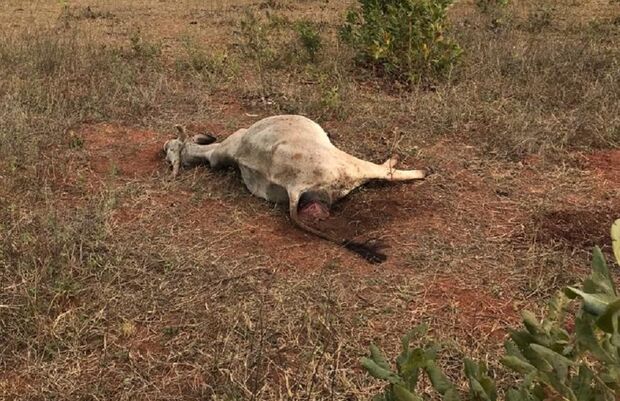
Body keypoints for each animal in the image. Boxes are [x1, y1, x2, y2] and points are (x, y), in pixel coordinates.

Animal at [162, 114, 428, 262]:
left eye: (171, 150)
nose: (163, 145)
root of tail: (294, 187)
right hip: (346, 163)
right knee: (385, 173)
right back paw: (412, 168)